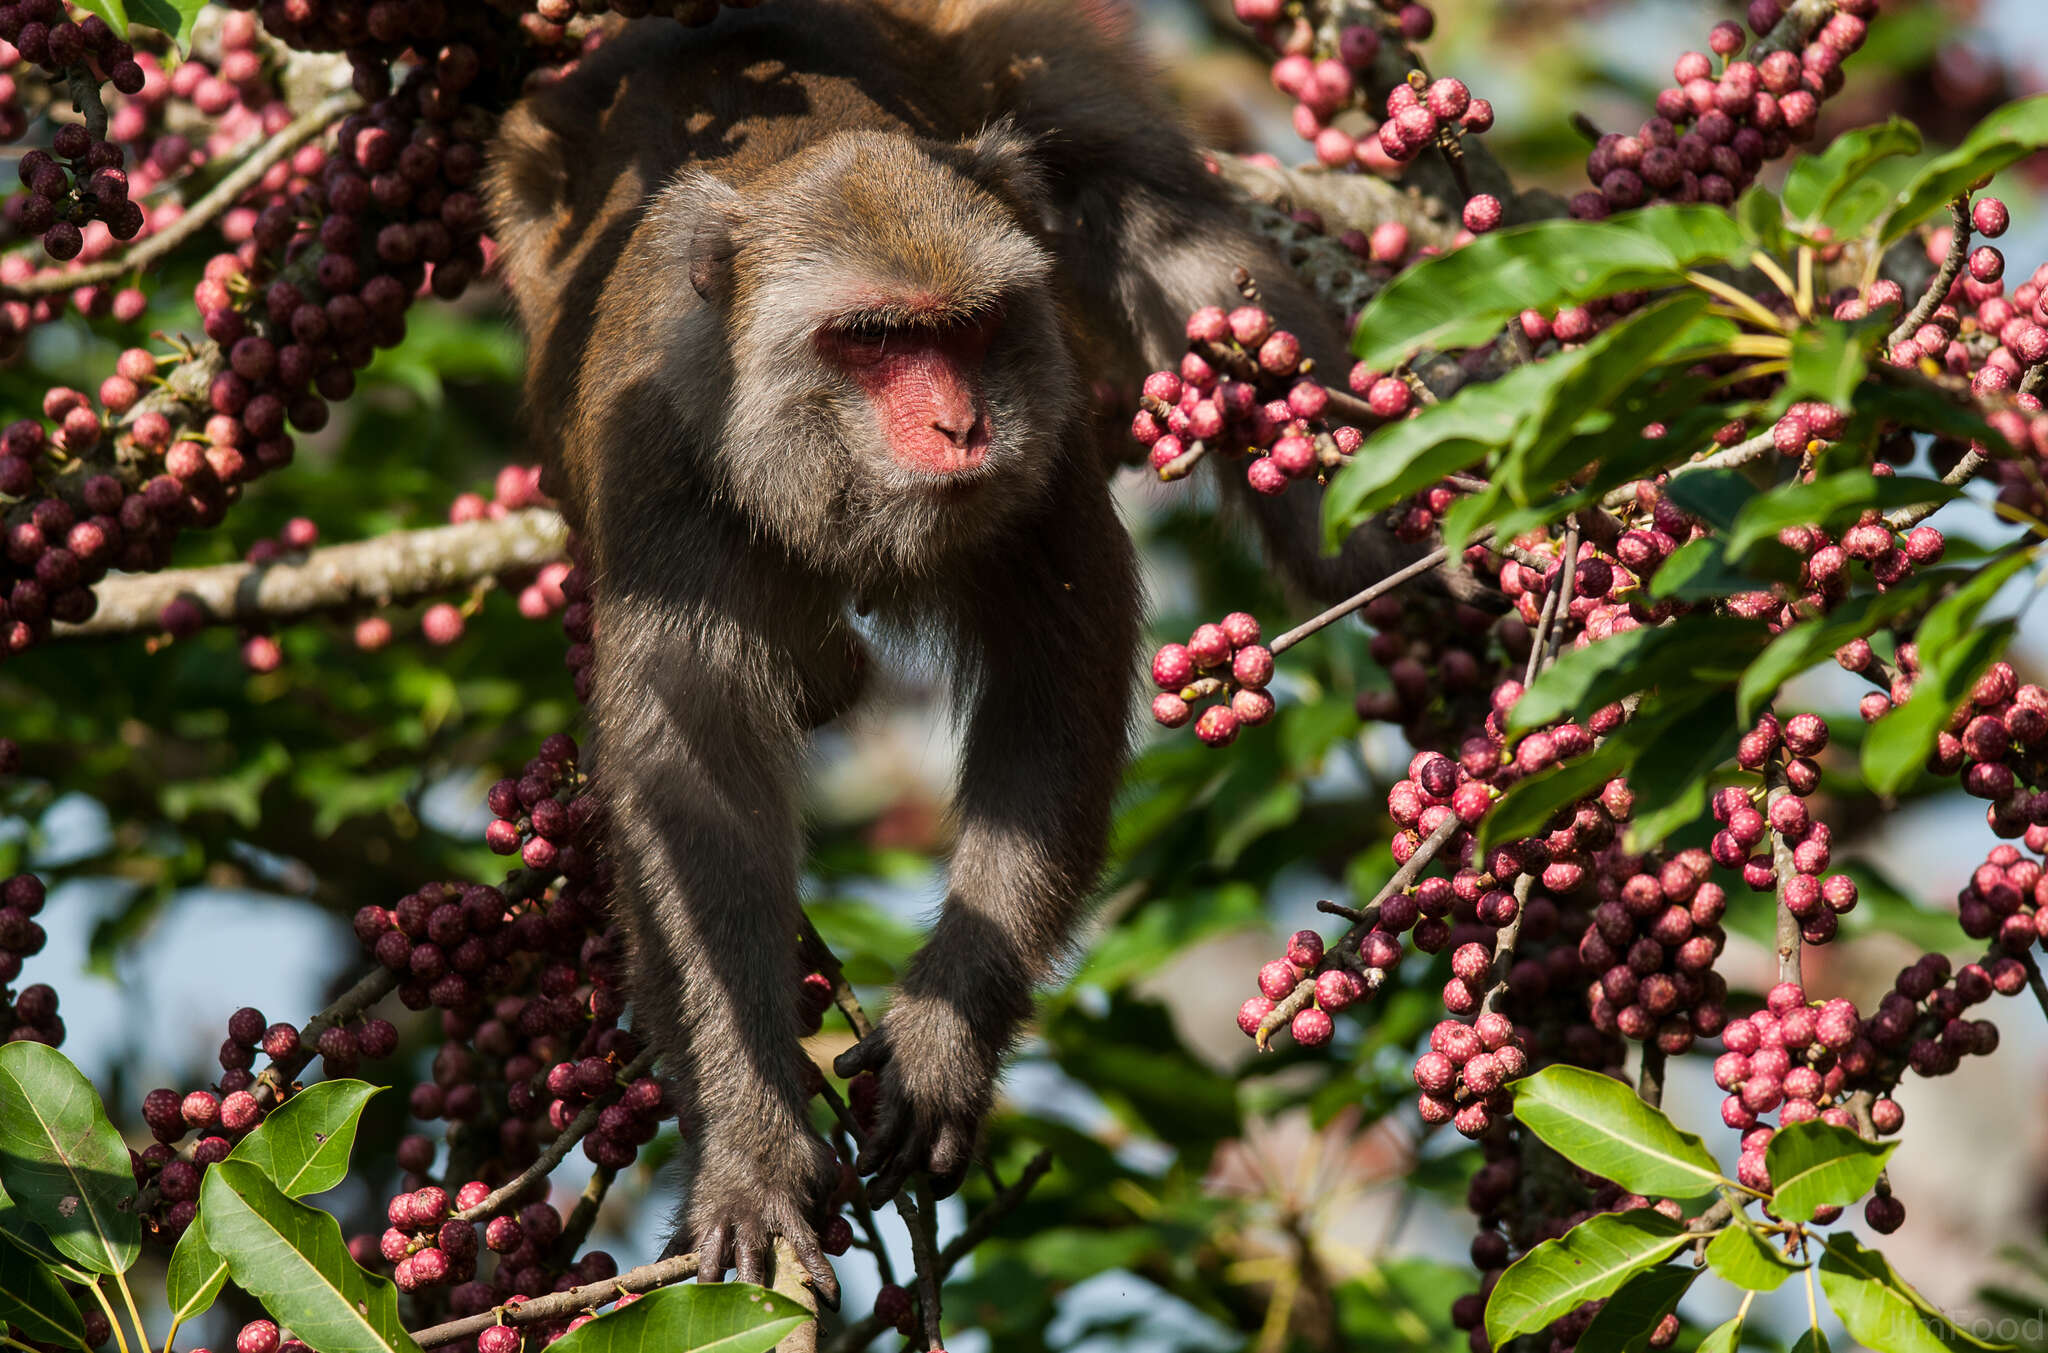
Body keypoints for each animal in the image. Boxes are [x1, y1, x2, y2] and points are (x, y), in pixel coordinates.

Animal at [485, 0, 1409, 1301]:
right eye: (870, 340)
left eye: (965, 332)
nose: (959, 426)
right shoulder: (661, 468)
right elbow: (692, 781)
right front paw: (748, 1144)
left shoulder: (1045, 448)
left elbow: (1054, 690)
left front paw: (941, 1037)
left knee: (1143, 200)